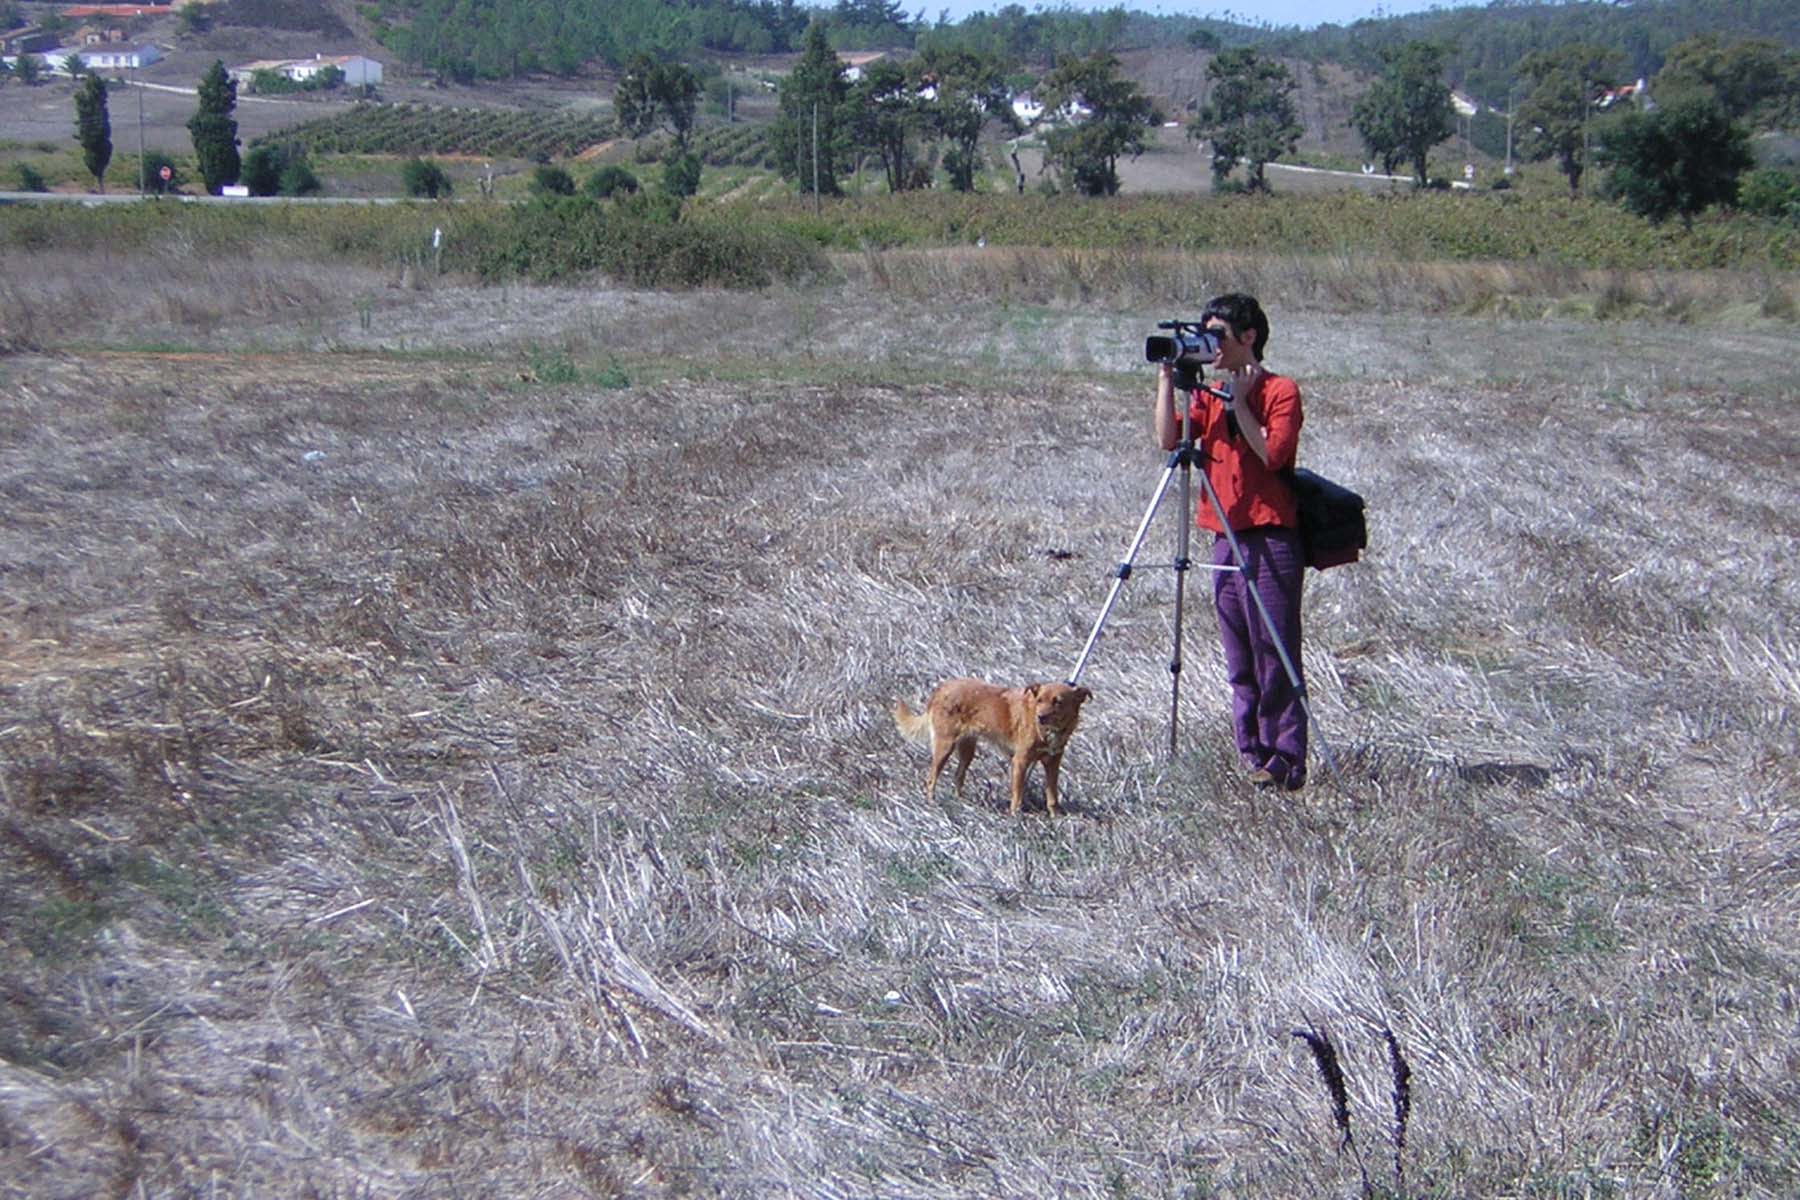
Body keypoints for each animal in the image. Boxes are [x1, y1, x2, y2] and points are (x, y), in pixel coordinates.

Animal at [892, 676, 1087, 816]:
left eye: (1058, 701)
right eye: (1039, 700)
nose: (1040, 717)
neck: (1050, 732)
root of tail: (941, 688)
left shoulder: (1053, 763)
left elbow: (1052, 796)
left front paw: (1055, 818)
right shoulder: (1020, 761)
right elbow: (1017, 795)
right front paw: (1015, 817)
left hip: (967, 749)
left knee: (958, 776)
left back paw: (961, 802)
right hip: (944, 746)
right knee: (931, 778)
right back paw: (931, 804)